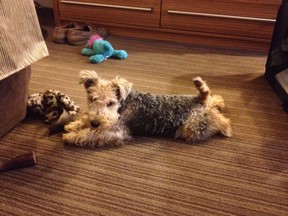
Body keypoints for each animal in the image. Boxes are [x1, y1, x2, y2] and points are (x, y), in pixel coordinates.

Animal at [60, 70, 232, 148]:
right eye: (92, 99)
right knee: (212, 100)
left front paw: (71, 136)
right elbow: (83, 123)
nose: (95, 123)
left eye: (110, 103)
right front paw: (73, 126)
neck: (123, 104)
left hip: (191, 128)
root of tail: (199, 101)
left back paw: (227, 129)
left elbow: (89, 135)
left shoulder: (116, 132)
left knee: (221, 121)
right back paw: (218, 101)